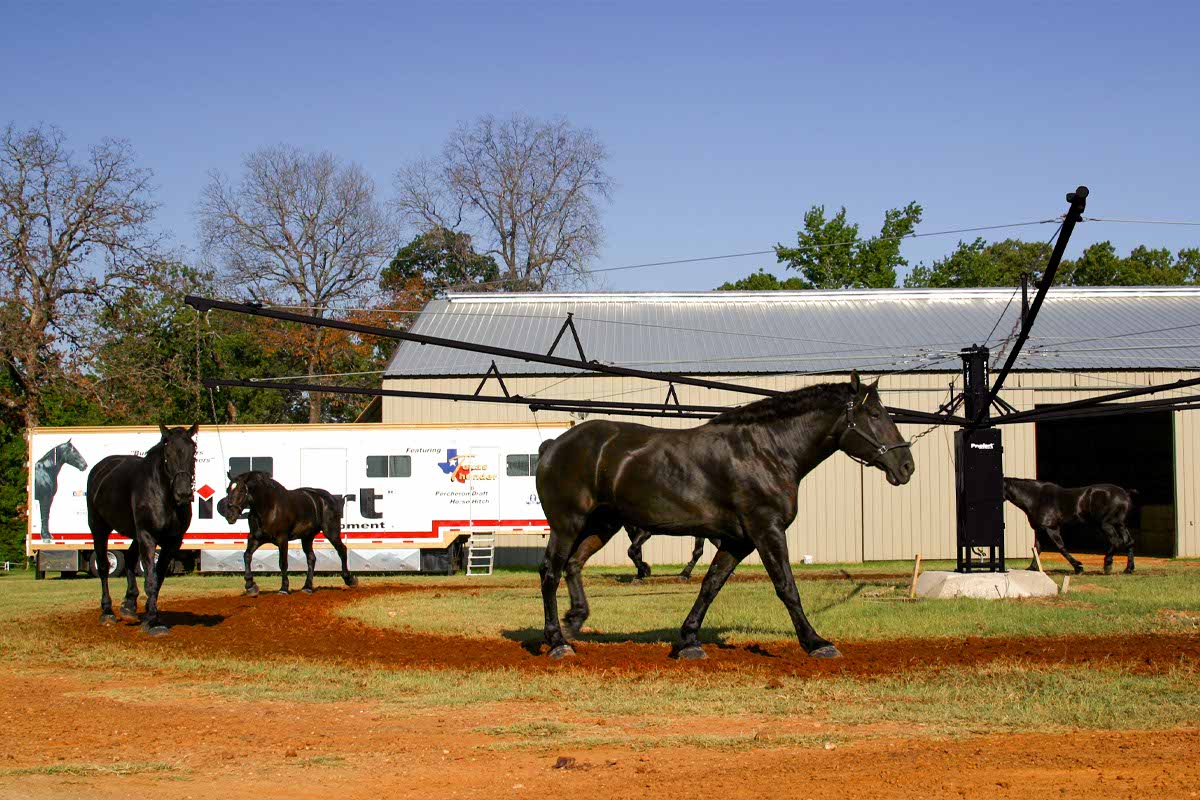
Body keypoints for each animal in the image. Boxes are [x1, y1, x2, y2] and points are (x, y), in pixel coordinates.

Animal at [86, 424, 198, 635]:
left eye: (193, 452)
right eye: (168, 454)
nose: (184, 493)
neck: (164, 496)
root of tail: (100, 469)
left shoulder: (172, 542)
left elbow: (158, 577)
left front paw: (149, 614)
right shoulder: (147, 536)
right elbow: (151, 579)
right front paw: (153, 622)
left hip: (135, 535)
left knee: (130, 558)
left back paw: (129, 605)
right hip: (99, 527)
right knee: (104, 566)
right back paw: (107, 611)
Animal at [216, 471, 358, 596]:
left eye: (241, 490)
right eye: (228, 490)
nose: (229, 515)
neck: (268, 507)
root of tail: (329, 497)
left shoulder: (282, 539)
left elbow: (283, 563)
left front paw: (283, 589)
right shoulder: (255, 538)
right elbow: (247, 556)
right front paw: (250, 586)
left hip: (331, 532)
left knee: (342, 550)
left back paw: (350, 580)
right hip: (307, 537)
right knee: (311, 558)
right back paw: (307, 587)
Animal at [536, 372, 915, 660]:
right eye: (875, 415)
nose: (906, 466)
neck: (767, 451)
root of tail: (554, 445)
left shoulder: (738, 540)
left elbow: (710, 585)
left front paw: (689, 641)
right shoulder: (767, 530)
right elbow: (786, 587)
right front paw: (816, 642)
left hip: (602, 525)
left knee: (573, 566)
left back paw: (575, 620)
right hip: (567, 524)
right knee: (551, 572)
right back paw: (557, 642)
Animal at [1003, 477, 1136, 574]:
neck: (1036, 498)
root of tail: (1125, 493)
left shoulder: (1051, 528)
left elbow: (1061, 547)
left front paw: (1078, 567)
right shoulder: (1040, 530)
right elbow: (1037, 548)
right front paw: (1032, 568)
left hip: (1106, 525)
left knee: (1116, 541)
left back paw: (1107, 565)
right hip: (1120, 525)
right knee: (1128, 542)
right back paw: (1128, 569)